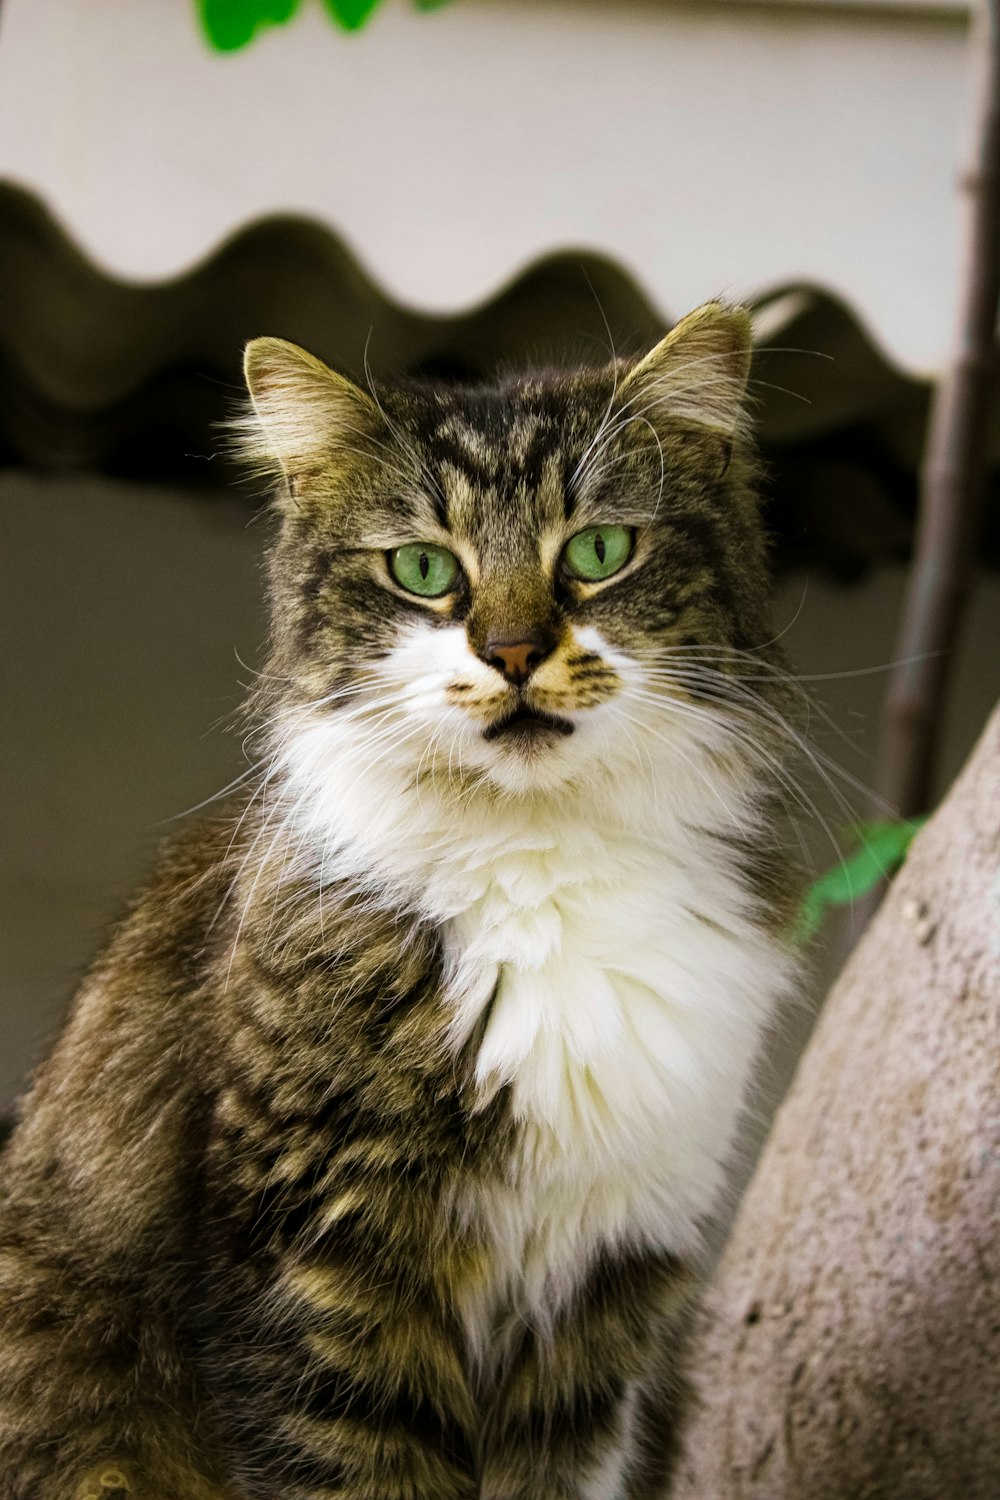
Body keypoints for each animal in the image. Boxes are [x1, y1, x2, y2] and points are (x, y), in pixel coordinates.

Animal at [0, 304, 797, 1500]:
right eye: (423, 568)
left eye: (598, 552)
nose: (512, 651)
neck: (540, 859)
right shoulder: (322, 1259)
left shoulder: (606, 1297)